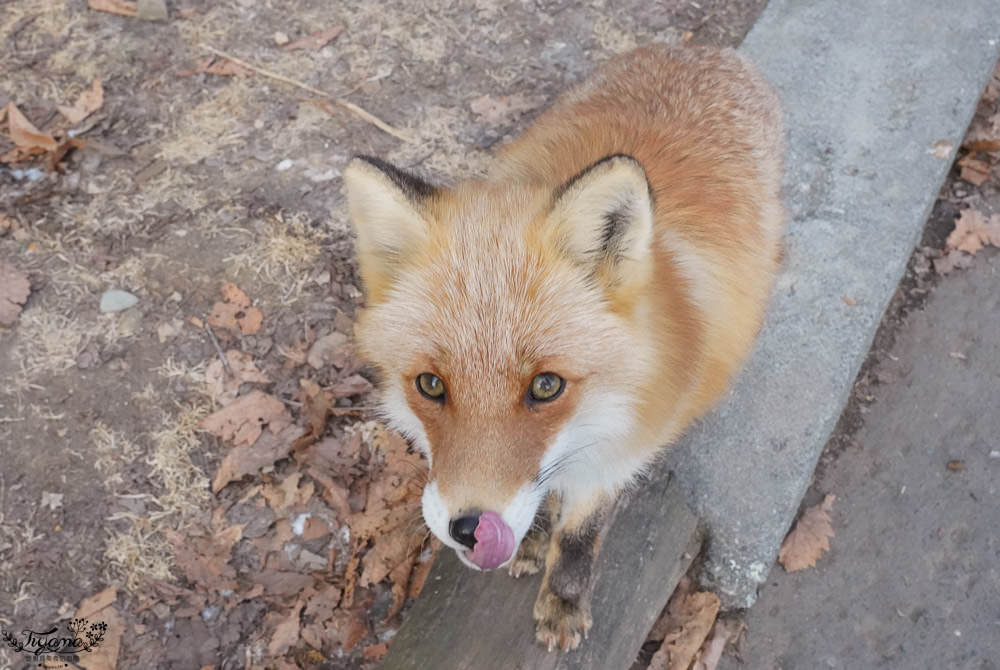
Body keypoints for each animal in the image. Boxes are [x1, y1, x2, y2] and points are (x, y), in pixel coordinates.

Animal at [348, 46, 784, 652]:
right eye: (430, 385)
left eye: (546, 385)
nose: (469, 529)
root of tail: (706, 53)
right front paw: (531, 541)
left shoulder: (619, 451)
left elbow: (580, 535)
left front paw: (564, 600)